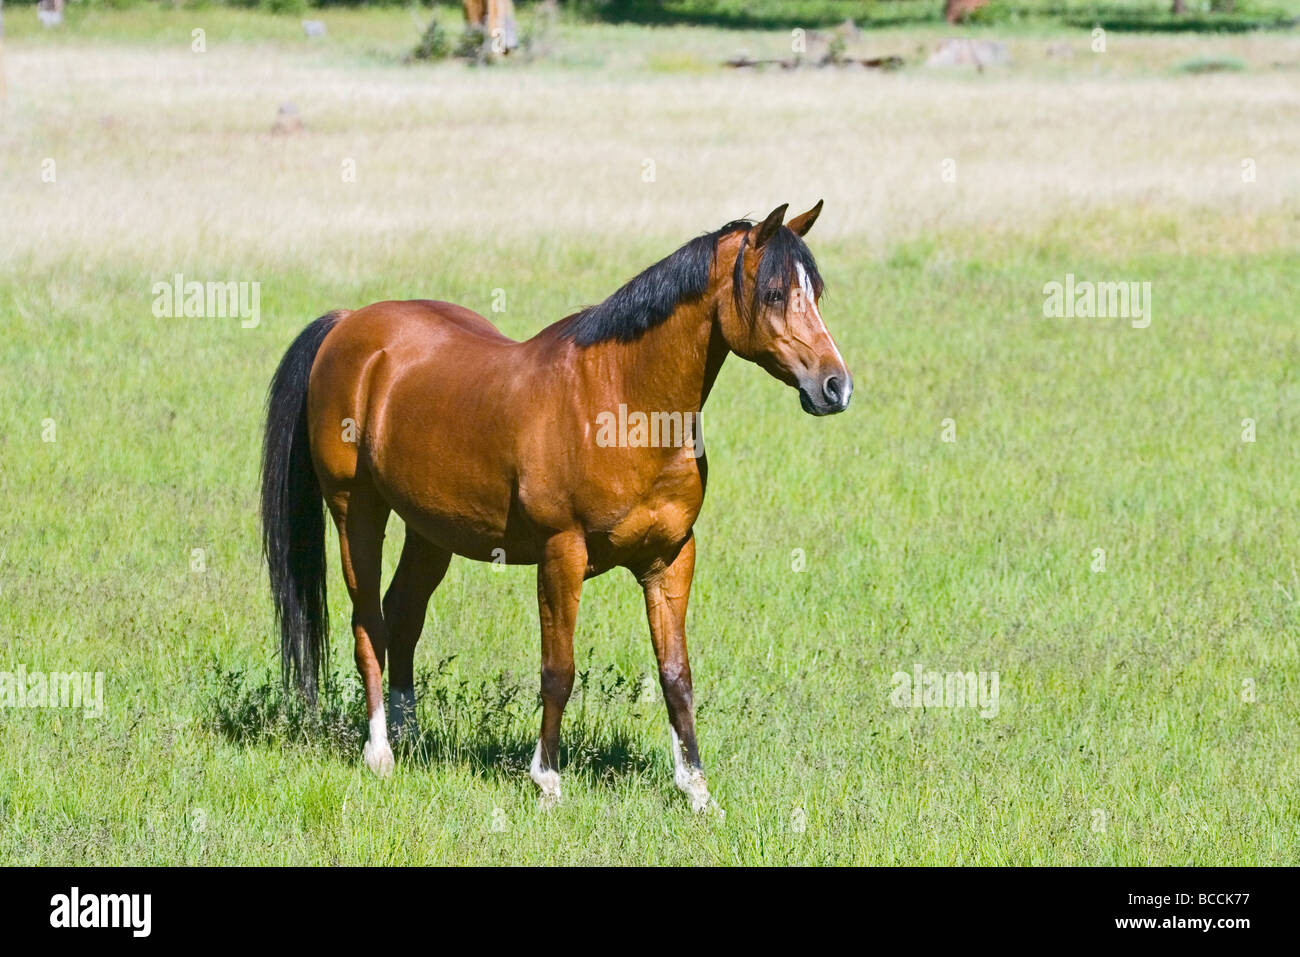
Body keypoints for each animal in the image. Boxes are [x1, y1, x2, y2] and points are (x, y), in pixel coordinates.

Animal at [260, 202, 851, 812]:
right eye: (774, 294)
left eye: (815, 292)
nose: (835, 386)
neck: (623, 400)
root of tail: (349, 323)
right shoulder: (560, 555)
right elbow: (558, 670)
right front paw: (547, 780)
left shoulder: (670, 558)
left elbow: (676, 674)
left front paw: (697, 791)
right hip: (356, 510)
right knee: (368, 623)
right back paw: (381, 753)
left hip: (431, 530)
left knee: (402, 617)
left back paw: (411, 738)